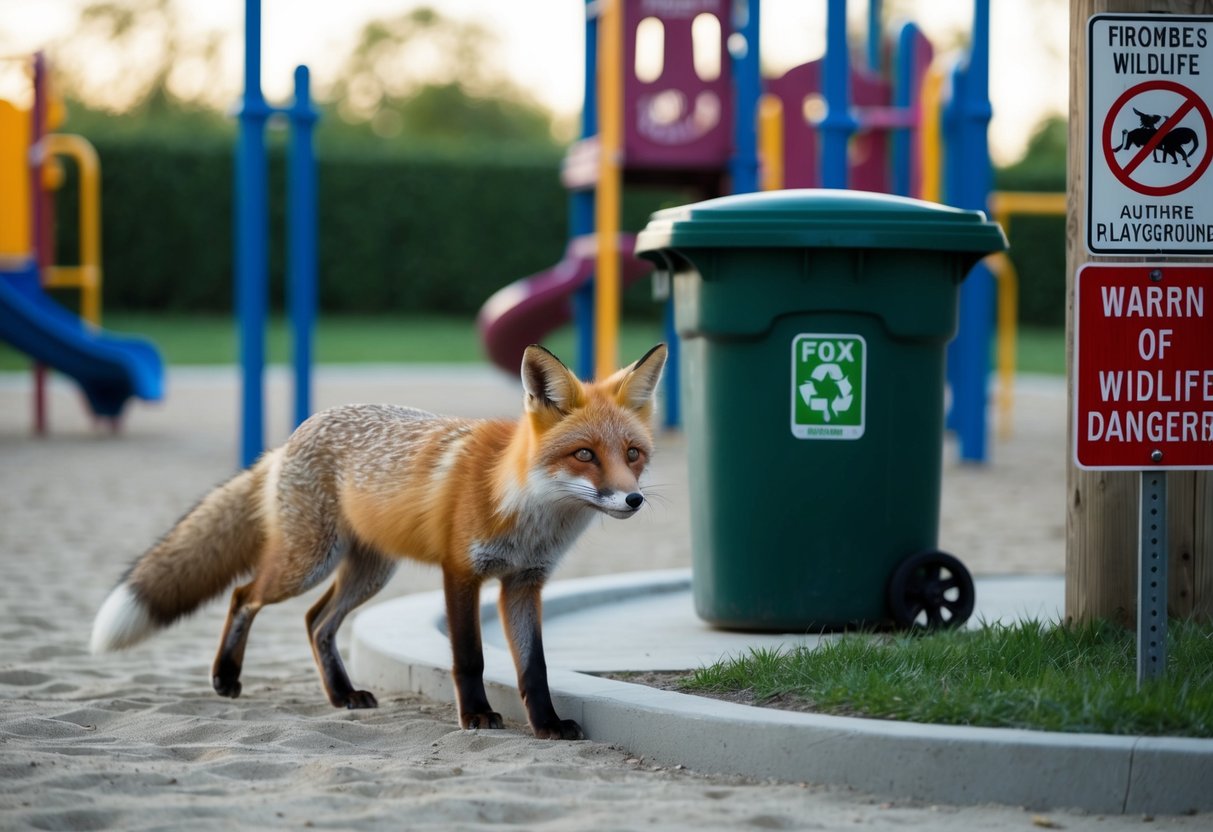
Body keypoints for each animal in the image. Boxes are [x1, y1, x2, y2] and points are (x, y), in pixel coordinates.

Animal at [90, 344, 667, 740]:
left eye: (633, 454)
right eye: (585, 455)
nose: (633, 499)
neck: (525, 507)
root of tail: (291, 438)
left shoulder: (524, 583)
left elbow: (535, 667)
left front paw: (547, 724)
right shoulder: (461, 573)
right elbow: (470, 658)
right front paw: (477, 715)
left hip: (369, 573)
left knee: (315, 621)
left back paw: (342, 694)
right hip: (308, 563)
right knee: (243, 596)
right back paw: (226, 677)